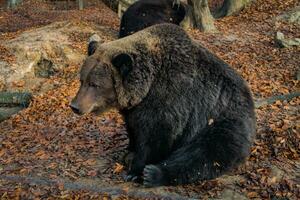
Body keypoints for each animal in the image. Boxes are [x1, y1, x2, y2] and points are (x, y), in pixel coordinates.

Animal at [70, 23, 255, 188]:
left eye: (95, 84)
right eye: (82, 80)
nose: (75, 106)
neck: (146, 88)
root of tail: (250, 100)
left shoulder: (170, 100)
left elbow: (156, 138)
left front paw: (135, 171)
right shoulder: (135, 109)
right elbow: (134, 129)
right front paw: (128, 152)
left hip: (219, 119)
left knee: (206, 152)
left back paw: (154, 174)